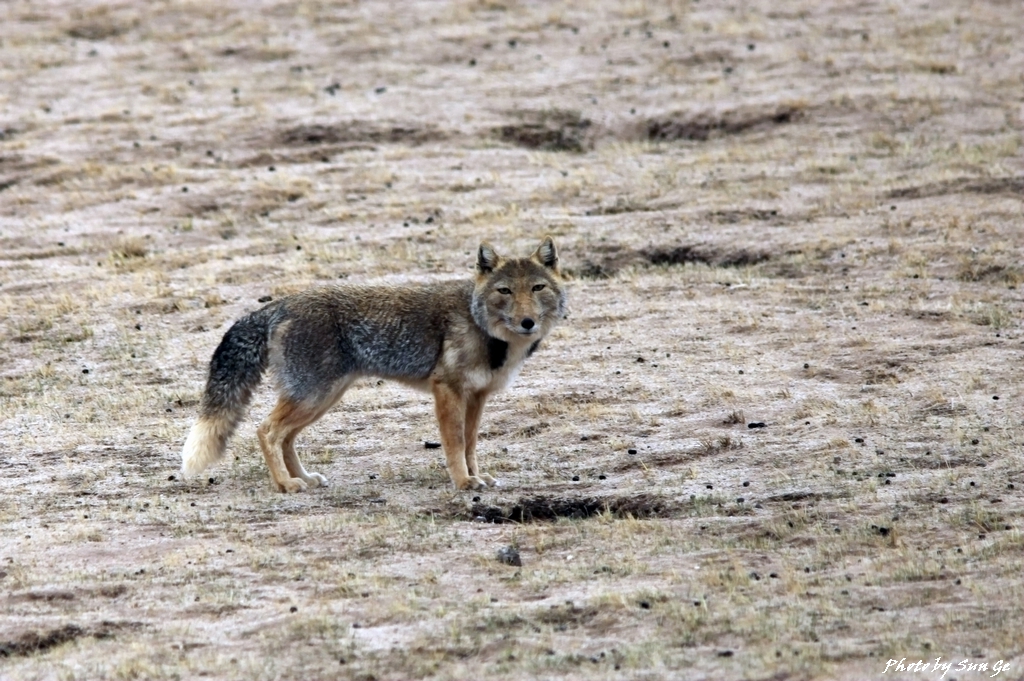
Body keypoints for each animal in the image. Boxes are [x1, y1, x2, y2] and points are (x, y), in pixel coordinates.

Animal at [181, 236, 567, 492]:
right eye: (505, 291)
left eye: (537, 288)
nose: (527, 322)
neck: (484, 328)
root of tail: (281, 304)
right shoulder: (447, 390)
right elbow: (455, 443)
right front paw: (462, 481)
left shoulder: (477, 396)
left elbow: (470, 443)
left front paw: (476, 474)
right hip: (313, 396)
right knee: (266, 431)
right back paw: (286, 484)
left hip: (321, 399)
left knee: (285, 437)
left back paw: (302, 477)